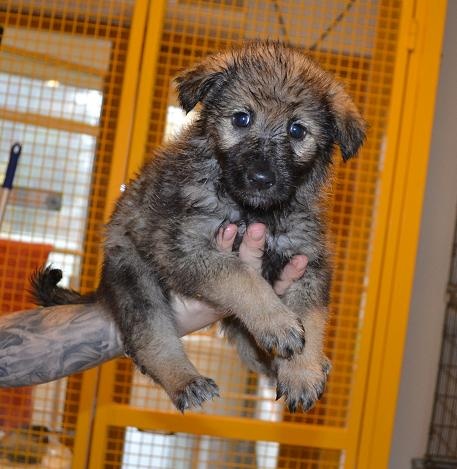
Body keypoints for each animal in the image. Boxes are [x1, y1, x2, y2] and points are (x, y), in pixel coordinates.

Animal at [31, 41, 365, 413]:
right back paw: (185, 380)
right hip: (136, 281)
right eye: (241, 118)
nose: (261, 177)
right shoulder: (181, 250)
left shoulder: (307, 262)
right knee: (151, 340)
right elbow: (239, 276)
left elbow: (310, 316)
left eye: (297, 130)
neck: (254, 213)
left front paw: (303, 371)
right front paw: (276, 321)